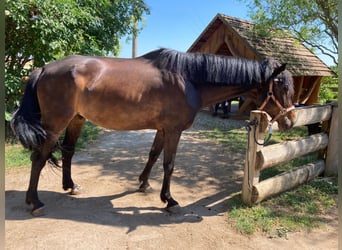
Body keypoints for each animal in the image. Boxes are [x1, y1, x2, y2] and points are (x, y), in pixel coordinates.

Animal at [10, 48, 296, 215]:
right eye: (283, 87)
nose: (291, 120)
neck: (188, 80)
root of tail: (42, 68)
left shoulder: (162, 129)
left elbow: (153, 155)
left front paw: (144, 183)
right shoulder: (174, 130)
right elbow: (169, 164)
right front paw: (169, 200)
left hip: (76, 119)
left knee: (68, 151)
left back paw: (71, 186)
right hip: (54, 124)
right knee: (38, 158)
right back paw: (34, 202)